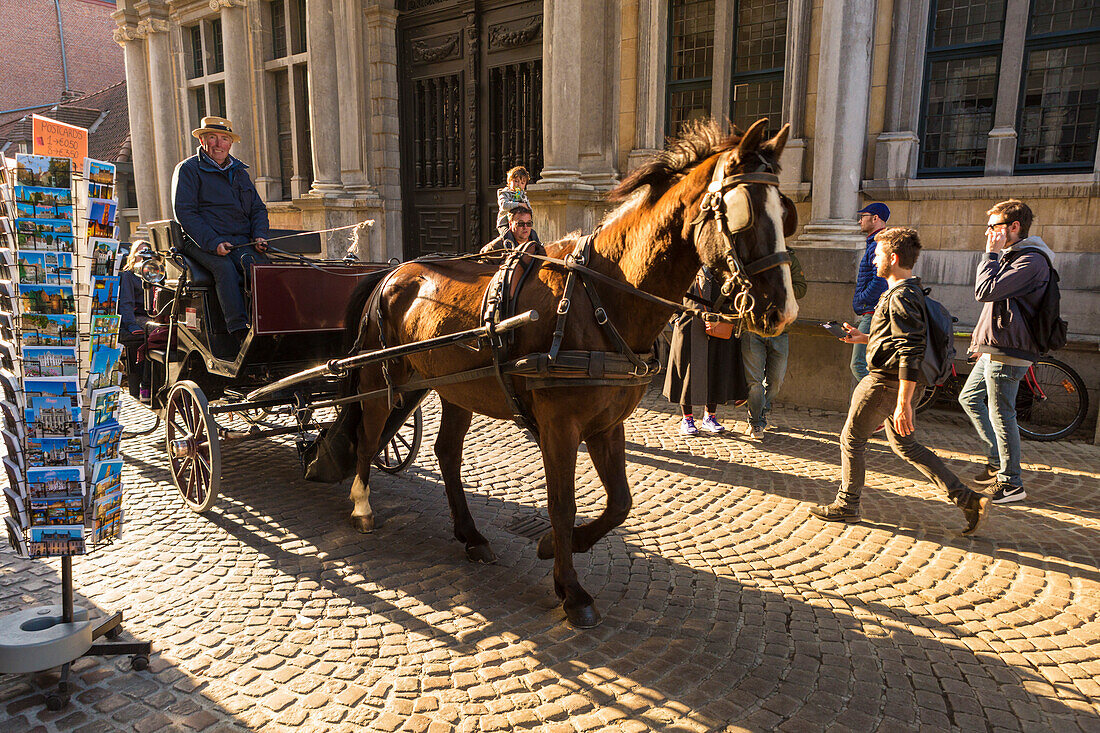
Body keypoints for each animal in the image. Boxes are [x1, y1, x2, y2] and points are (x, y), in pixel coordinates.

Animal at [338, 117, 796, 625]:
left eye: (786, 214)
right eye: (742, 213)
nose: (782, 311)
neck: (600, 298)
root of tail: (393, 272)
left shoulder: (606, 424)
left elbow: (620, 503)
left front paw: (555, 548)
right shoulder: (560, 426)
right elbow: (562, 504)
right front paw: (571, 589)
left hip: (458, 389)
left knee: (447, 453)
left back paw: (471, 535)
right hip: (379, 376)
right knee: (369, 431)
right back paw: (361, 504)